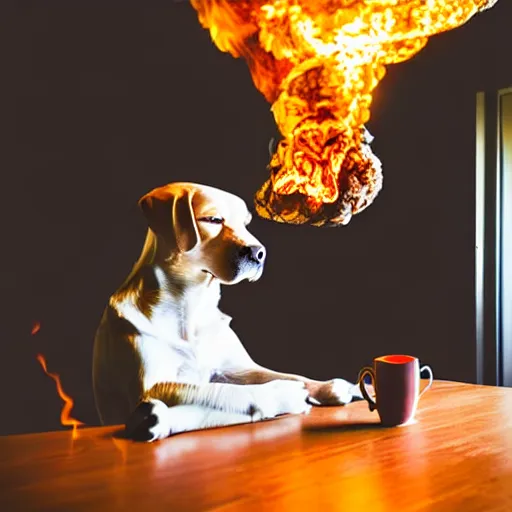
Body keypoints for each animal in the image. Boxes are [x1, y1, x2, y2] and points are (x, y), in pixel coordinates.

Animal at [93, 183, 364, 440]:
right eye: (213, 220)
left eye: (245, 224)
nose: (259, 253)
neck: (191, 304)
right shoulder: (151, 385)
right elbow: (224, 391)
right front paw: (280, 394)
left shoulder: (238, 368)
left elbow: (291, 375)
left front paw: (327, 387)